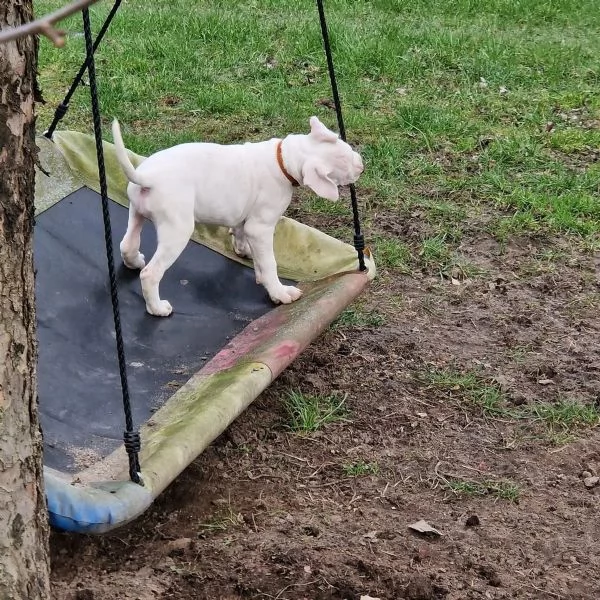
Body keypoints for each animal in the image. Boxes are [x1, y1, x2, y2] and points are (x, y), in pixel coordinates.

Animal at [113, 114, 366, 316]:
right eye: (344, 165)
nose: (362, 165)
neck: (283, 159)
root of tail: (148, 177)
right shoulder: (261, 228)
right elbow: (269, 262)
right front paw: (279, 292)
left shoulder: (246, 219)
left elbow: (242, 235)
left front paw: (245, 253)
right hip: (177, 230)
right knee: (150, 274)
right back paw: (157, 308)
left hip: (136, 211)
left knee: (127, 243)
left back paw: (134, 261)